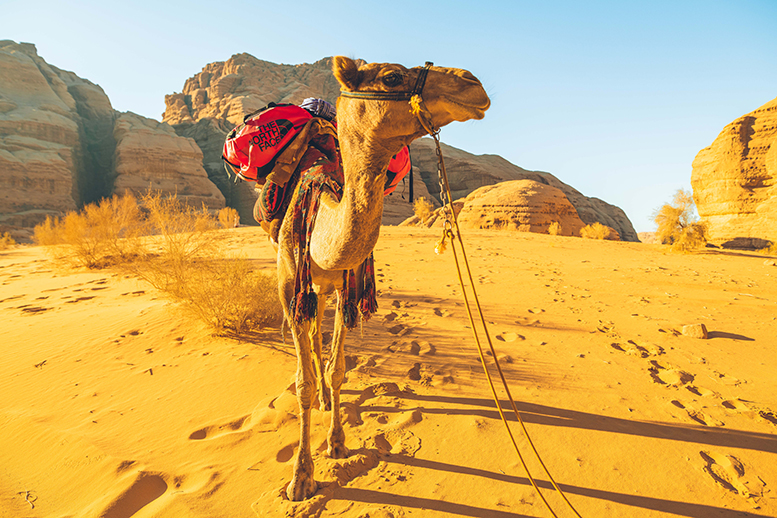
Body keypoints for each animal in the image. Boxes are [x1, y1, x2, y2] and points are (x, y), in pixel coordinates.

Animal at [276, 54, 488, 502]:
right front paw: (301, 478)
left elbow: (338, 369)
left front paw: (337, 442)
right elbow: (302, 383)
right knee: (308, 337)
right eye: (391, 77)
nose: (473, 83)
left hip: (322, 288)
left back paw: (327, 399)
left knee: (318, 334)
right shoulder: (289, 286)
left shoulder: (345, 285)